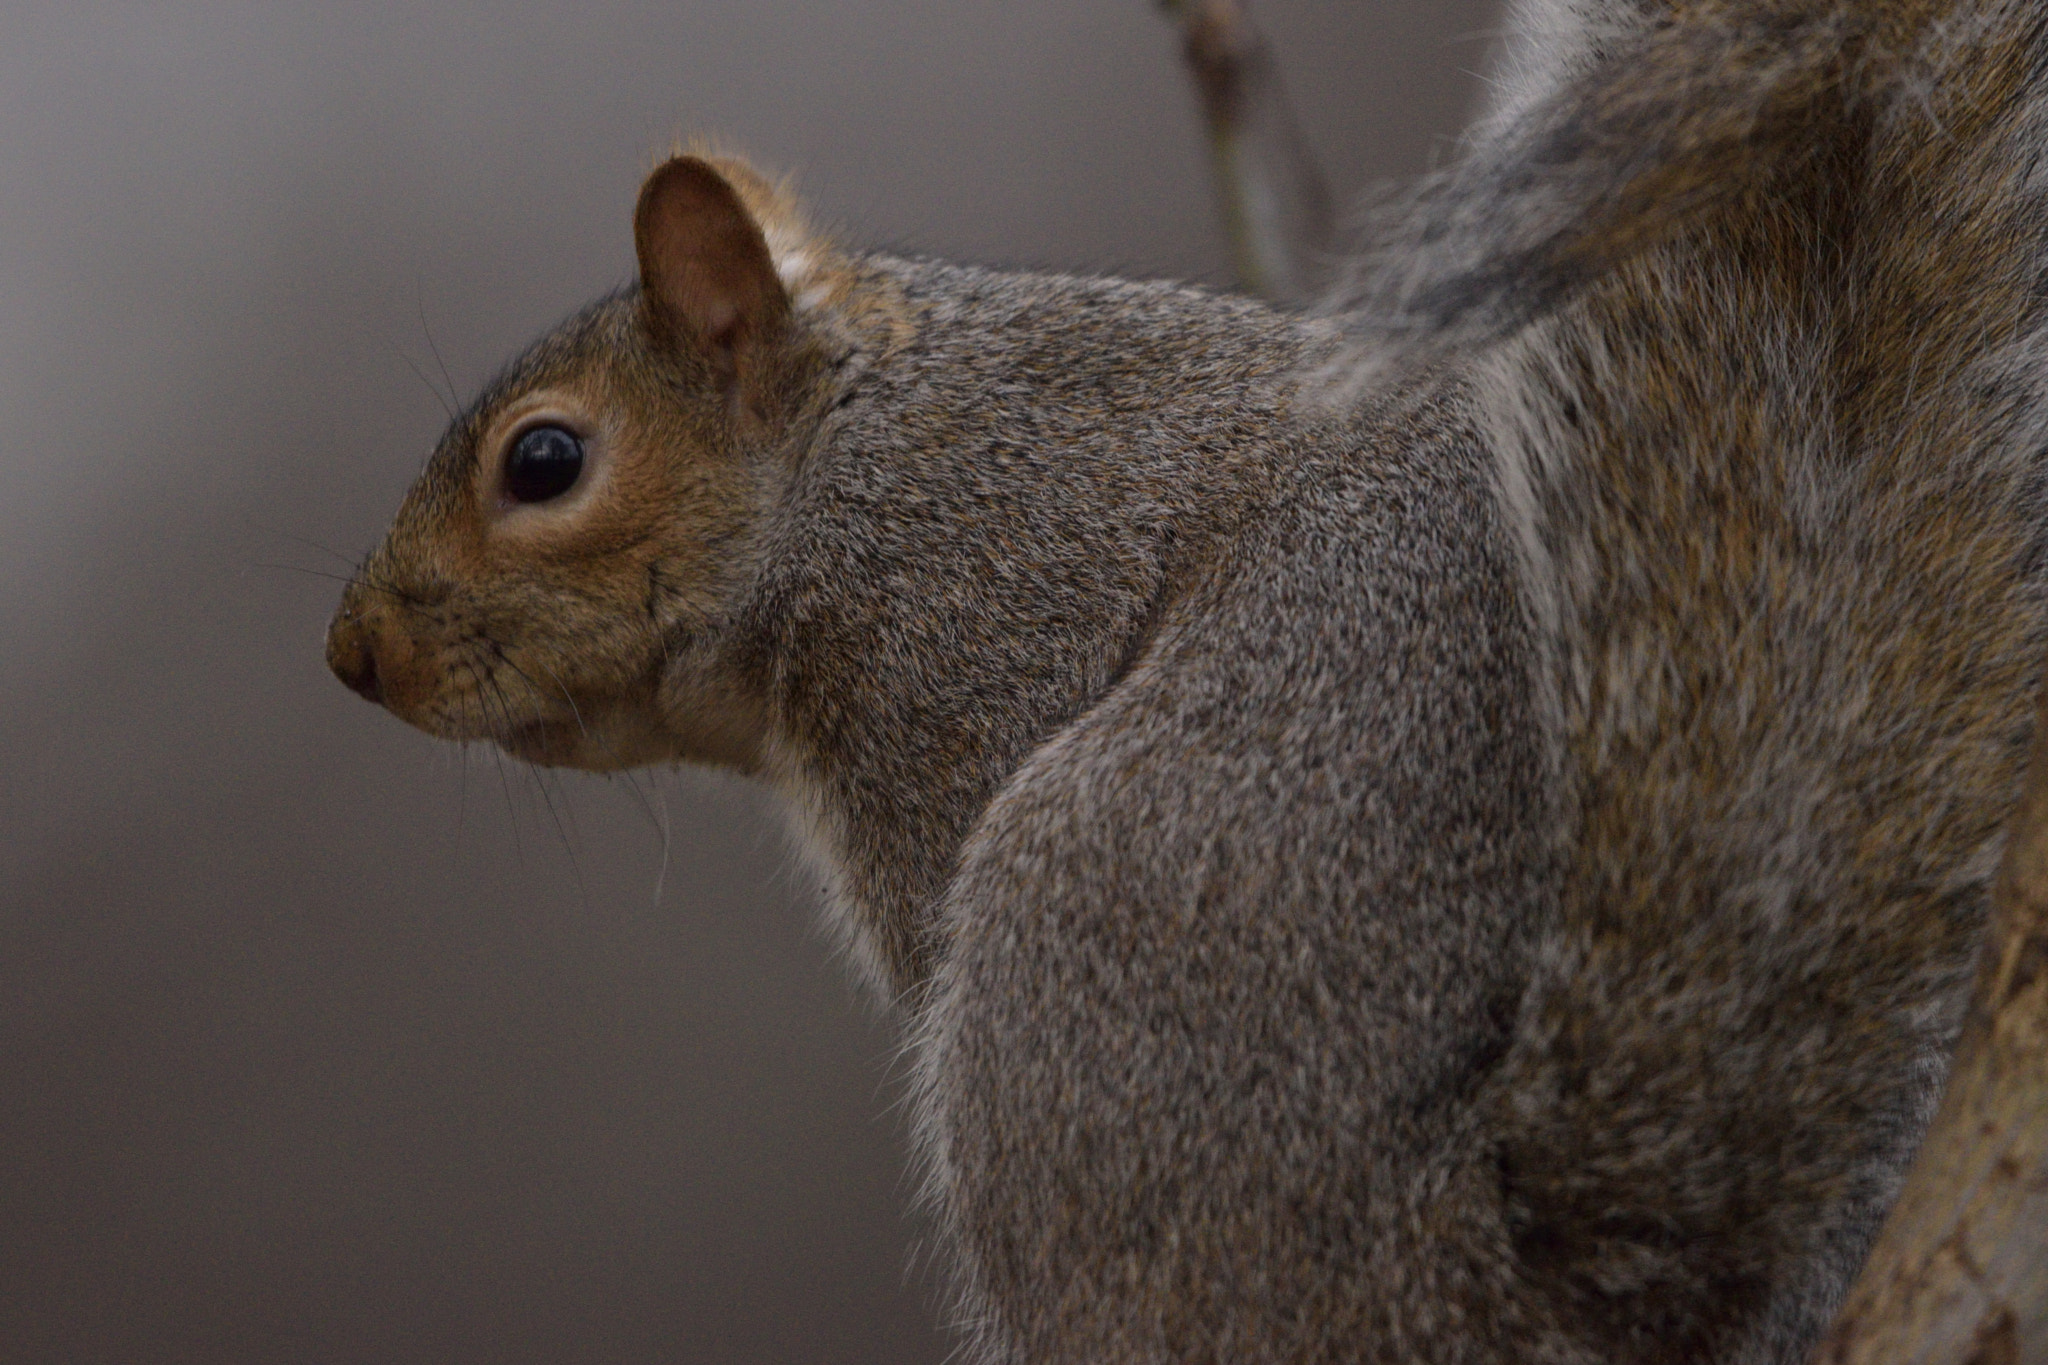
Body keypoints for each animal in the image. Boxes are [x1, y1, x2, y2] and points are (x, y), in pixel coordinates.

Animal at [327, 5, 2048, 1358]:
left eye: (544, 463)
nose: (351, 654)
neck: (850, 461)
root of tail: (1488, 1301)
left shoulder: (974, 621)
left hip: (1079, 929)